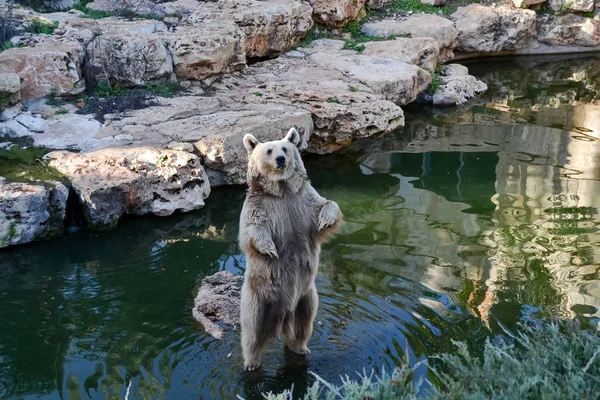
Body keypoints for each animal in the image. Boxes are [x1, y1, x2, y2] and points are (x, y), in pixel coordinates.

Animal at [239, 128, 342, 372]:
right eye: (269, 150)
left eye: (285, 148)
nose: (280, 159)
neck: (282, 191)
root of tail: (281, 320)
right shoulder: (259, 205)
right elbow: (253, 229)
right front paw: (270, 250)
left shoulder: (302, 200)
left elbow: (325, 205)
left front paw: (326, 219)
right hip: (257, 297)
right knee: (252, 330)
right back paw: (251, 362)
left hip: (305, 296)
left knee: (303, 323)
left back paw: (300, 347)